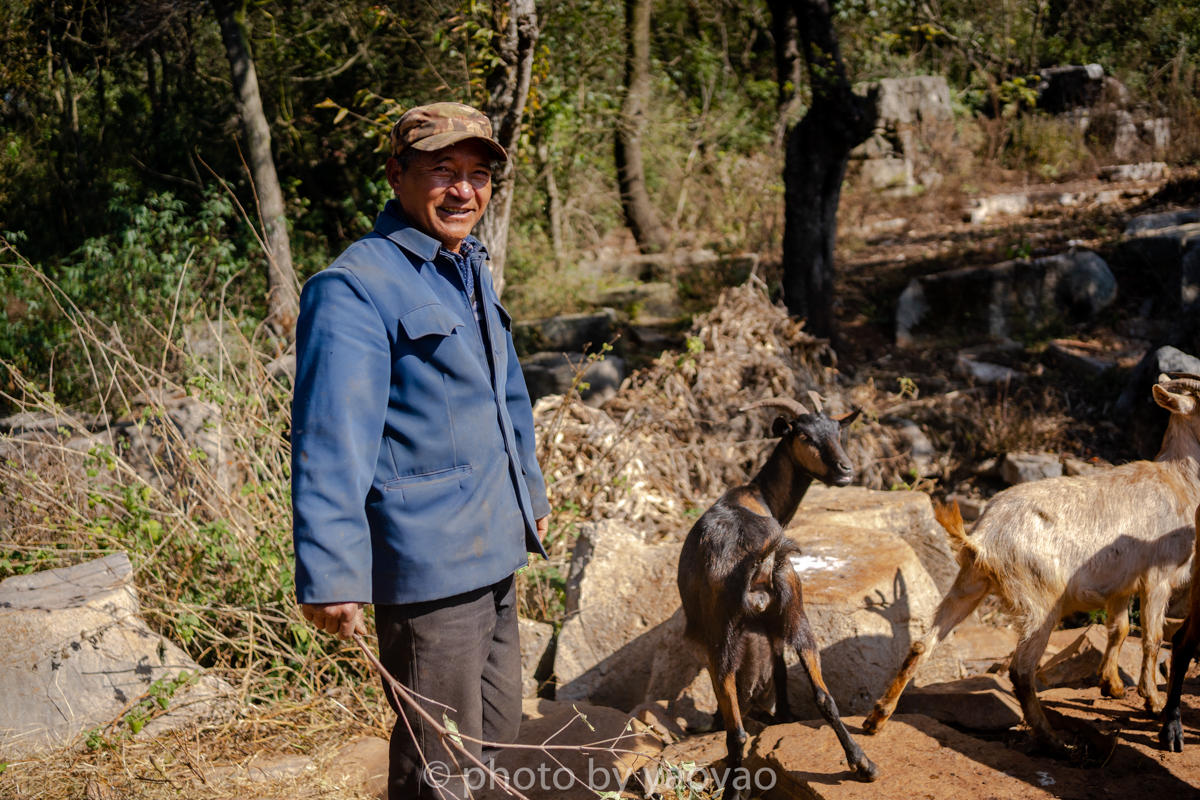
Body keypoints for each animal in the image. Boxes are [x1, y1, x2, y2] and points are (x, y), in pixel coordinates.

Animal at [681, 391, 878, 791]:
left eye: (838, 431)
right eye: (804, 436)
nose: (846, 470)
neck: (757, 495)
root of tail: (758, 563)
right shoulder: (774, 629)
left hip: (721, 637)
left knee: (736, 732)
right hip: (795, 611)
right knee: (823, 695)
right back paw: (862, 764)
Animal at [864, 374, 1200, 753]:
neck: (1179, 482)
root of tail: (983, 538)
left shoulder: (1121, 582)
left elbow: (1119, 629)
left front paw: (1111, 685)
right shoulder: (1157, 576)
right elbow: (1152, 638)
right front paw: (1153, 702)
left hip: (969, 583)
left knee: (923, 642)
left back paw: (876, 719)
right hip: (1039, 600)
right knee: (1021, 670)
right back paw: (1052, 739)